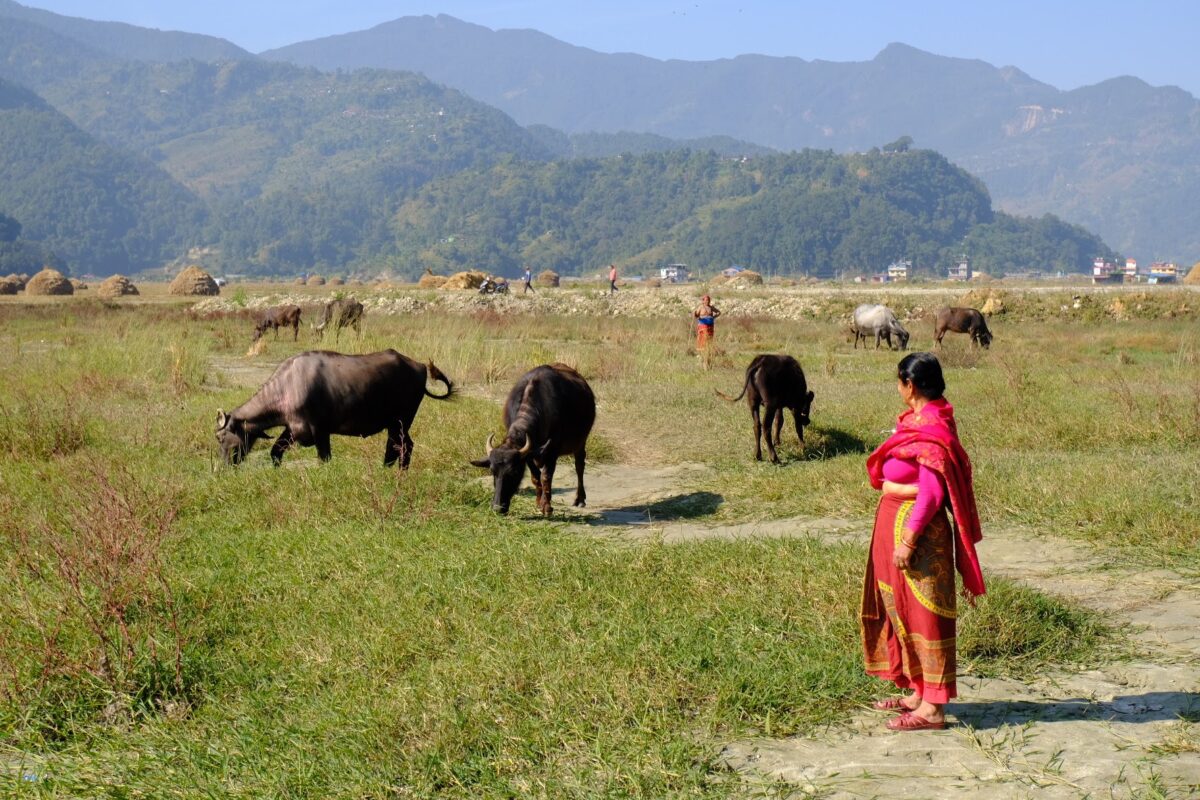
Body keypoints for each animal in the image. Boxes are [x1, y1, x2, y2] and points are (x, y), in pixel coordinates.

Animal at [213, 350, 451, 470]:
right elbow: (275, 452)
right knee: (399, 446)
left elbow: (324, 458)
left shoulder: (320, 431)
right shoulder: (293, 429)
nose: (222, 468)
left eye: (220, 437)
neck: (288, 385)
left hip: (400, 422)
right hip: (397, 424)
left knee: (402, 446)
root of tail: (419, 366)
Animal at [470, 364, 597, 515]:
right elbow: (536, 477)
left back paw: (580, 499)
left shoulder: (552, 451)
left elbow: (546, 477)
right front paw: (538, 502)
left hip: (581, 442)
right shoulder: (529, 456)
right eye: (492, 471)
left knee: (579, 466)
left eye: (514, 472)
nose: (497, 508)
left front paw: (546, 506)